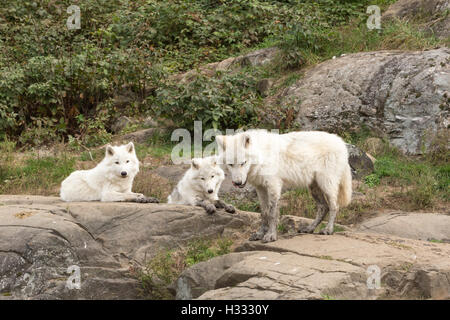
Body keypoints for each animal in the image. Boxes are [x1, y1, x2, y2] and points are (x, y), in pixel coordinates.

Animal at [216, 130, 354, 242]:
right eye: (230, 164)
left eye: (243, 163)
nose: (238, 183)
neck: (262, 155)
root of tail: (341, 142)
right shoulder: (260, 188)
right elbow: (264, 213)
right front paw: (259, 234)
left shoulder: (273, 186)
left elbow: (272, 213)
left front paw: (270, 236)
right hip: (314, 187)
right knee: (323, 207)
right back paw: (309, 228)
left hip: (326, 184)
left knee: (334, 206)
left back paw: (328, 230)